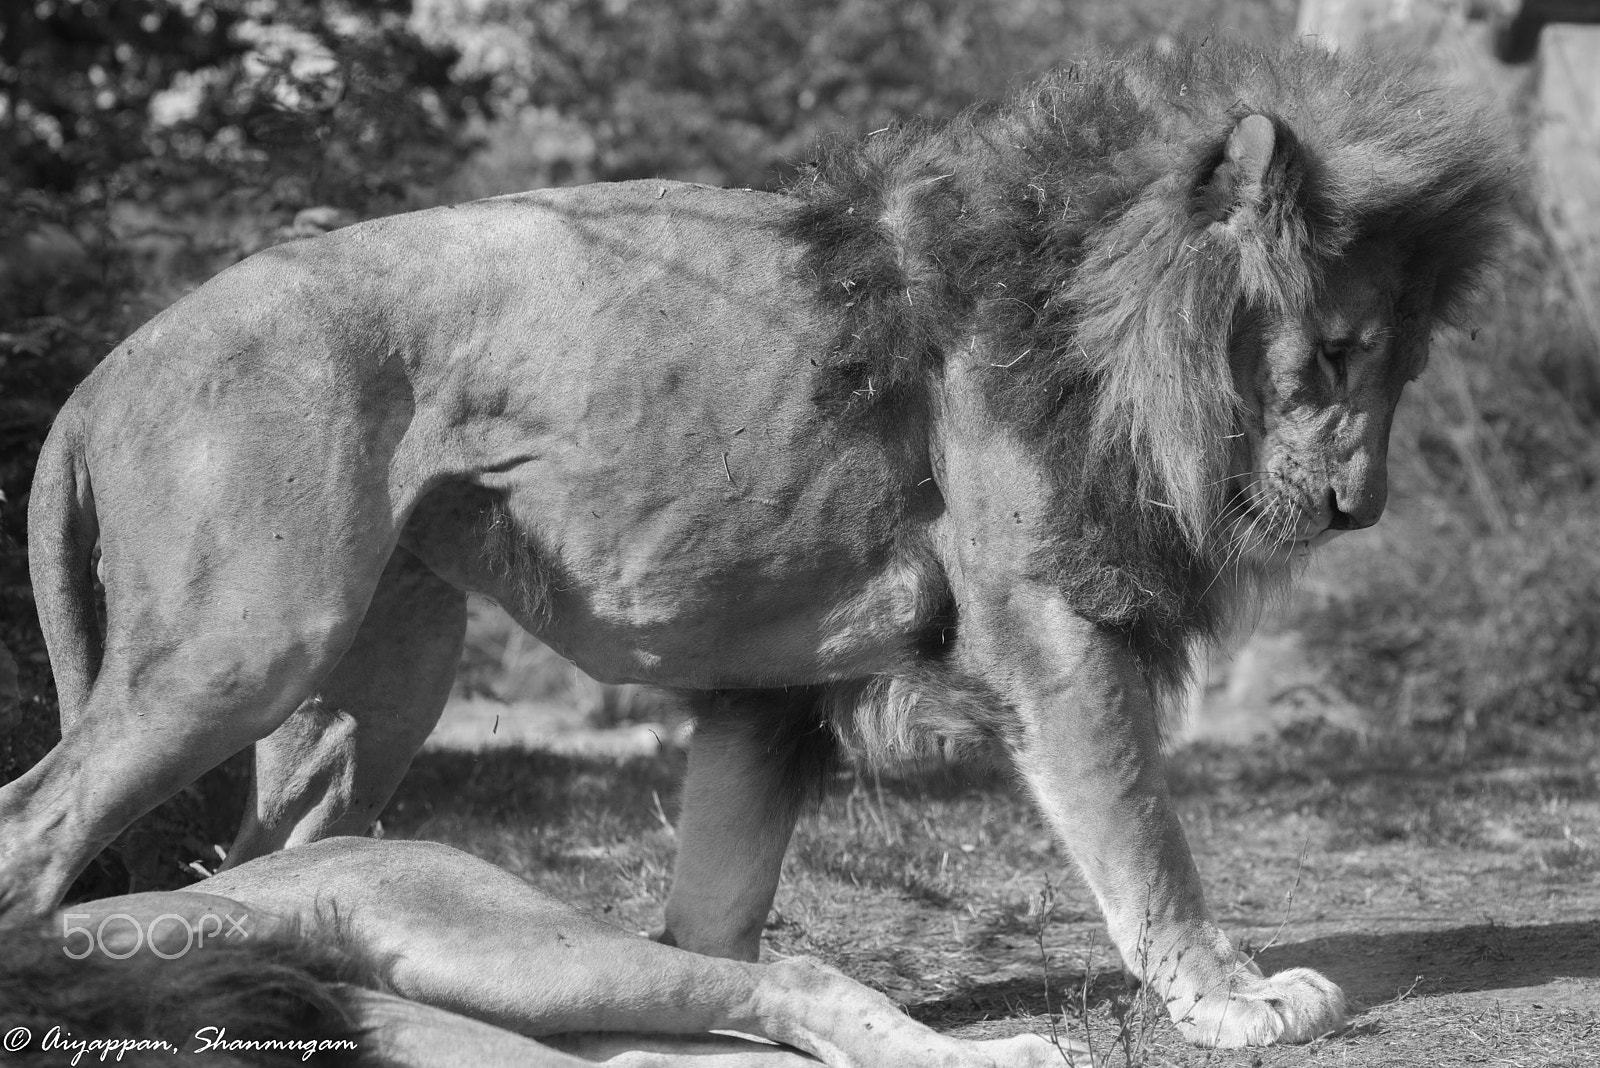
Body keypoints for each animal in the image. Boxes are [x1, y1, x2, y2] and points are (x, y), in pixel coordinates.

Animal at [3, 37, 1510, 1048]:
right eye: (1335, 351)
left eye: (1401, 364)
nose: (1360, 509)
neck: (1090, 320)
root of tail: (109, 368)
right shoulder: (1045, 625)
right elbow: (1143, 831)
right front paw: (1232, 998)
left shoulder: (776, 687)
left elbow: (712, 917)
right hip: (248, 641)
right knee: (37, 829)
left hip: (378, 676)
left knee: (267, 855)